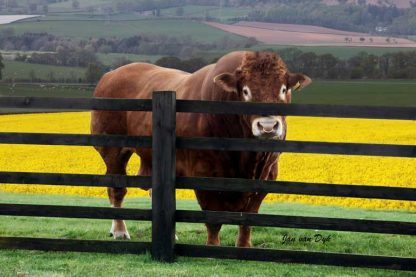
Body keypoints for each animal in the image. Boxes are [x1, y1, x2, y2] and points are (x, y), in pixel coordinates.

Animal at [92, 51, 312, 246]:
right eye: (245, 91)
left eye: (283, 89)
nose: (267, 126)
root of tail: (111, 74)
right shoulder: (203, 172)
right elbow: (212, 219)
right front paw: (213, 245)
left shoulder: (268, 173)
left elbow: (249, 217)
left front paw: (243, 245)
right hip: (112, 150)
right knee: (117, 190)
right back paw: (119, 230)